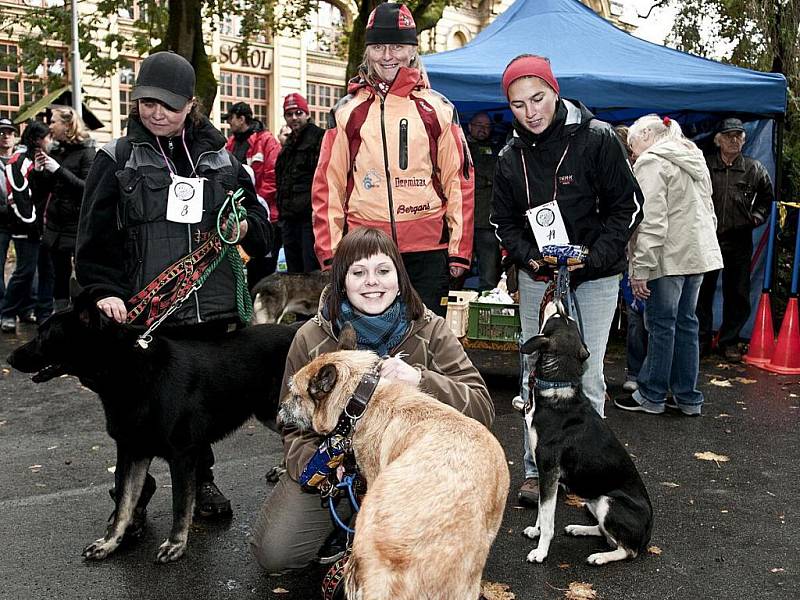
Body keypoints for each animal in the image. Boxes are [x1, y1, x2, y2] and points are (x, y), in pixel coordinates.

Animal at [7, 308, 296, 564]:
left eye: (44, 336)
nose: (9, 359)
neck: (124, 367)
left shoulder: (181, 456)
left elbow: (179, 505)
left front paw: (176, 545)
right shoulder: (132, 453)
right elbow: (124, 503)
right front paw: (110, 543)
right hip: (270, 413)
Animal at [520, 300, 652, 568]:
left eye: (559, 315)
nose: (559, 299)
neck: (557, 388)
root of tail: (648, 533)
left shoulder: (549, 469)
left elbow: (548, 518)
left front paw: (540, 551)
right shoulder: (545, 474)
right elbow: (541, 510)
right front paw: (536, 532)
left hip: (610, 503)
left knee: (627, 550)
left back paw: (600, 557)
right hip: (594, 501)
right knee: (604, 531)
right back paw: (579, 529)